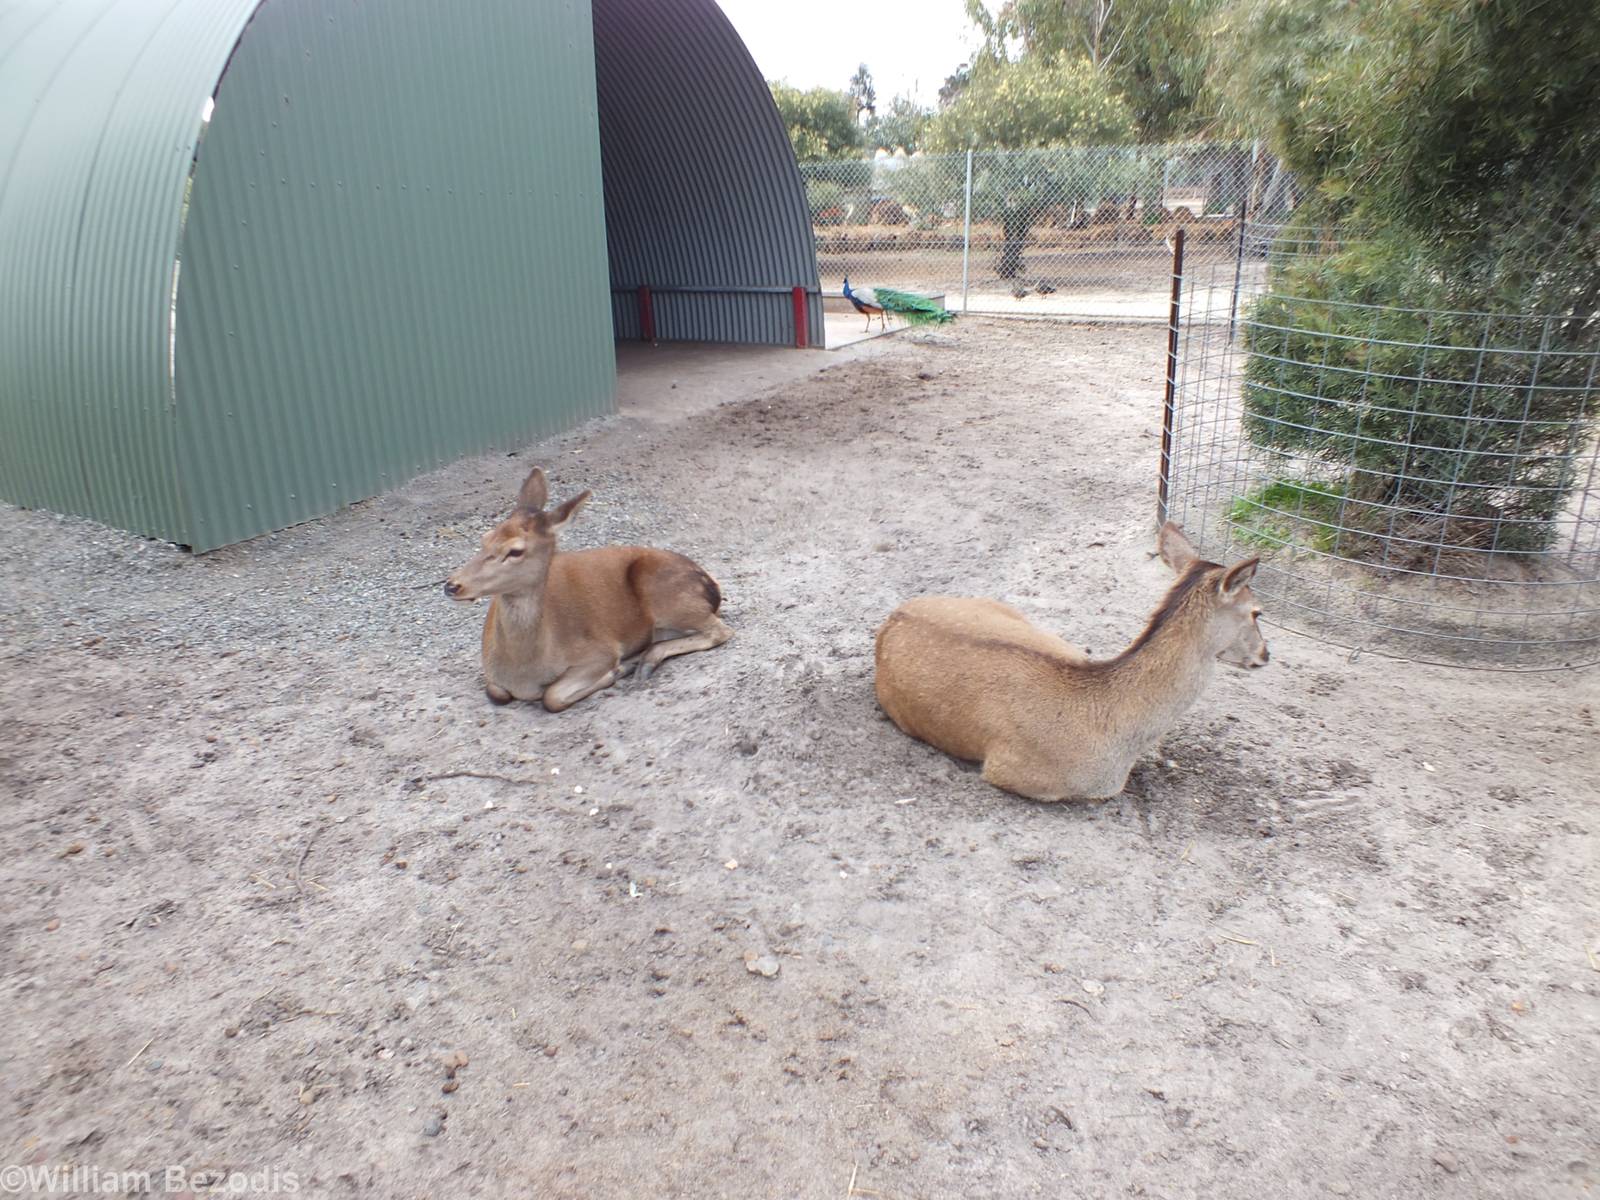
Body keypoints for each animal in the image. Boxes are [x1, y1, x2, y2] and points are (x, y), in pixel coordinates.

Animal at [444, 466, 731, 711]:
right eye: (484, 538)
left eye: (515, 551)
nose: (452, 585)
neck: (525, 672)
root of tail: (712, 587)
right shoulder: (491, 674)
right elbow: (497, 693)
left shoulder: (599, 651)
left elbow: (551, 697)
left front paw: (616, 671)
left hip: (665, 593)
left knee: (720, 630)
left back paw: (644, 662)